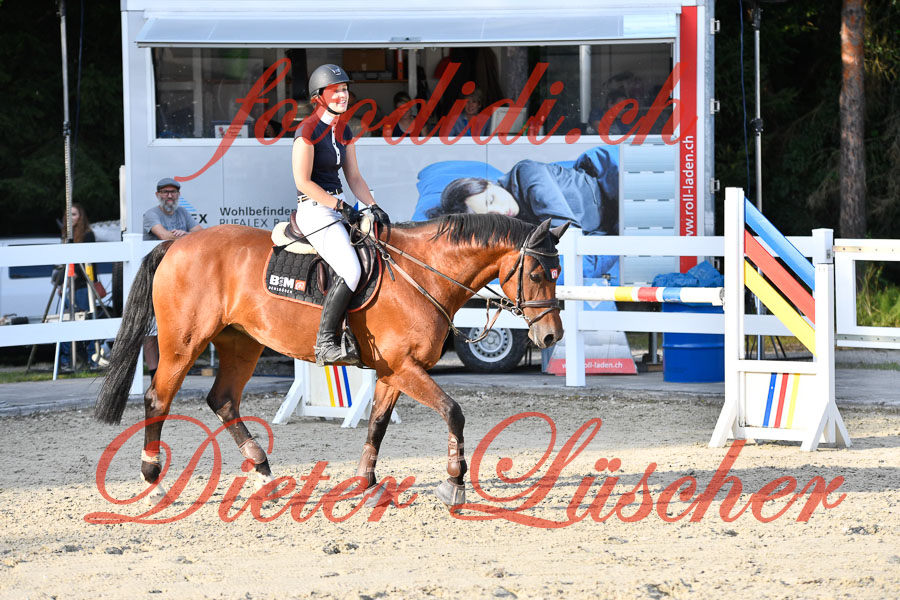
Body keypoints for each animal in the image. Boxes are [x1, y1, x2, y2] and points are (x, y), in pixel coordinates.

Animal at [95, 213, 567, 507]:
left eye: (557, 273)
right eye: (536, 274)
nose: (551, 336)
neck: (422, 272)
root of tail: (177, 245)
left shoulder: (394, 371)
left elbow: (377, 423)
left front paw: (366, 483)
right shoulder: (406, 368)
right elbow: (454, 412)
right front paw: (453, 483)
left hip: (241, 343)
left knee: (223, 399)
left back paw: (264, 472)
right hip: (183, 344)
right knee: (158, 398)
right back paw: (153, 479)